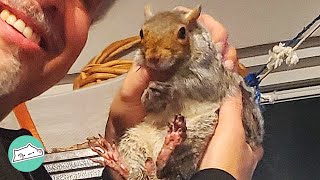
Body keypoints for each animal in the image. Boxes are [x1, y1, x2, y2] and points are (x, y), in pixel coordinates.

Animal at [90, 4, 262, 179]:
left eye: (182, 32)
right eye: (141, 33)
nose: (153, 57)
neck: (172, 68)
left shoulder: (212, 75)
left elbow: (200, 85)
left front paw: (171, 86)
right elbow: (149, 105)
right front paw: (150, 95)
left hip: (198, 132)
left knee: (168, 167)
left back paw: (170, 145)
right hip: (133, 141)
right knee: (136, 174)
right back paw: (117, 162)